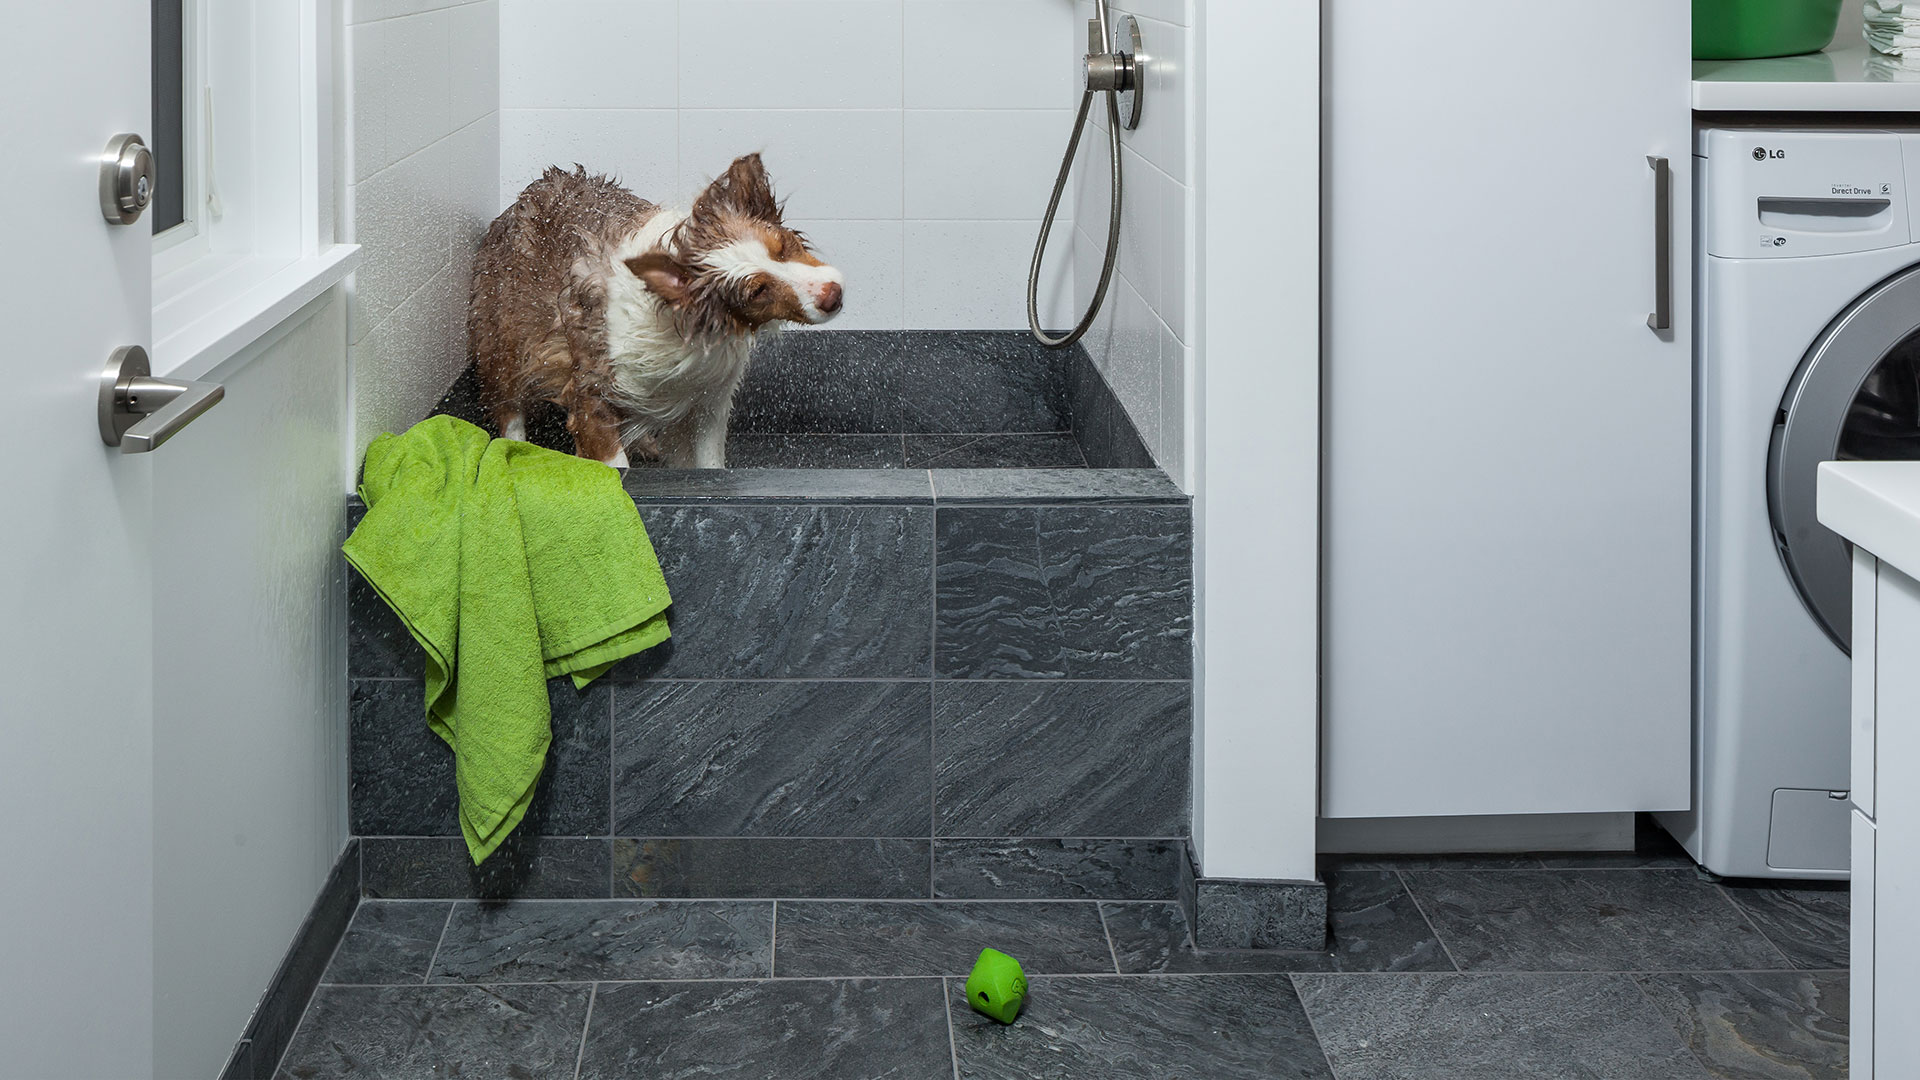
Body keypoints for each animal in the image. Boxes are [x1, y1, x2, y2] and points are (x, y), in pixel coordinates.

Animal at [466, 152, 840, 466]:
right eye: (757, 291)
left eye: (783, 247)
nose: (832, 295)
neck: (683, 324)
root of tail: (528, 193)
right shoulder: (590, 389)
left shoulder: (710, 396)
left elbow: (709, 461)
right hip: (504, 335)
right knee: (508, 402)